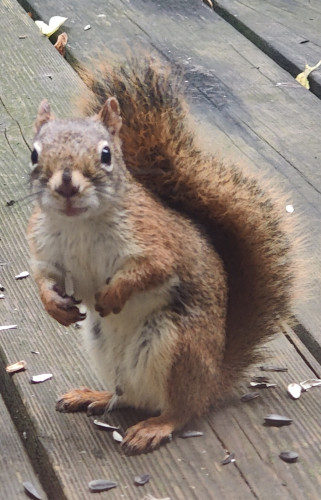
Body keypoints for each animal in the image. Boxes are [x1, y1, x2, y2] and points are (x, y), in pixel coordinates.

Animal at [27, 56, 302, 456]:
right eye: (34, 153)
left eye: (106, 154)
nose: (66, 185)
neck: (80, 224)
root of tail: (213, 381)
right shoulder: (44, 247)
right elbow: (44, 278)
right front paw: (54, 306)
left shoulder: (157, 242)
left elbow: (151, 271)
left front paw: (112, 295)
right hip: (104, 348)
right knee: (129, 395)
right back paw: (94, 395)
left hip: (177, 346)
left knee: (180, 409)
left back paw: (155, 426)